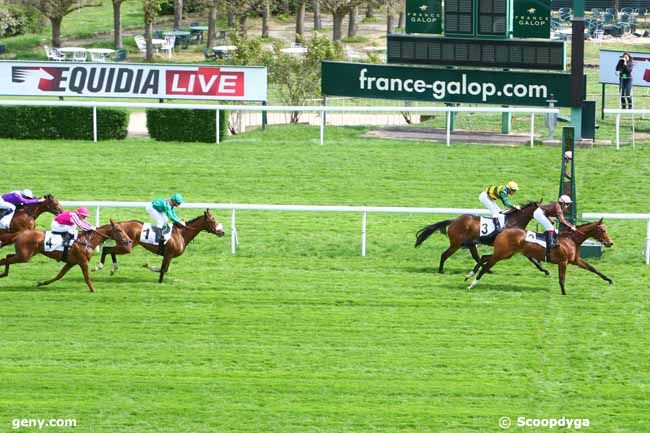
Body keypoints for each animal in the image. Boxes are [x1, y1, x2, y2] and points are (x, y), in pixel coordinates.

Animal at [0, 219, 132, 294]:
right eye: (119, 230)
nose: (129, 241)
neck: (86, 241)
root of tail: (20, 234)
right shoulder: (83, 262)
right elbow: (87, 278)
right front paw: (93, 290)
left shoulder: (71, 262)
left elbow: (59, 275)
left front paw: (41, 283)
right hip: (24, 256)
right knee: (4, 260)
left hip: (22, 255)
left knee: (6, 257)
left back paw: (4, 273)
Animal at [92, 210, 225, 284]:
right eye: (213, 221)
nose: (222, 232)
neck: (181, 234)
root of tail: (118, 224)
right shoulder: (168, 254)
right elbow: (163, 270)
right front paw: (158, 279)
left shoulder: (168, 255)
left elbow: (163, 269)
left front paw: (149, 267)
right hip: (127, 246)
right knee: (106, 249)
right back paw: (99, 267)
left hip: (124, 245)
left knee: (110, 251)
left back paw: (114, 268)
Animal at [464, 219, 612, 294]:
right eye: (603, 230)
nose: (610, 242)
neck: (570, 239)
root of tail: (502, 231)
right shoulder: (563, 262)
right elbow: (562, 279)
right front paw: (564, 293)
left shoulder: (575, 260)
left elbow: (593, 268)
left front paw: (609, 280)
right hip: (501, 254)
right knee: (486, 265)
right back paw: (472, 284)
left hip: (505, 254)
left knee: (484, 257)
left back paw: (469, 275)